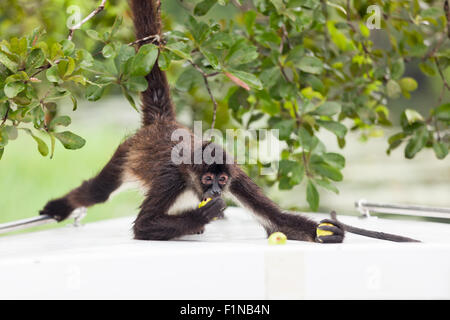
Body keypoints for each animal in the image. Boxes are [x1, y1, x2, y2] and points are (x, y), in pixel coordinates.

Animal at [40, 0, 344, 244]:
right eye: (208, 178)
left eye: (222, 180)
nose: (215, 190)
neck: (192, 179)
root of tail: (163, 123)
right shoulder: (171, 179)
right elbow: (143, 226)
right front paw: (205, 214)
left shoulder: (238, 177)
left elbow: (277, 221)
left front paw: (328, 232)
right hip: (127, 150)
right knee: (99, 191)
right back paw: (61, 206)